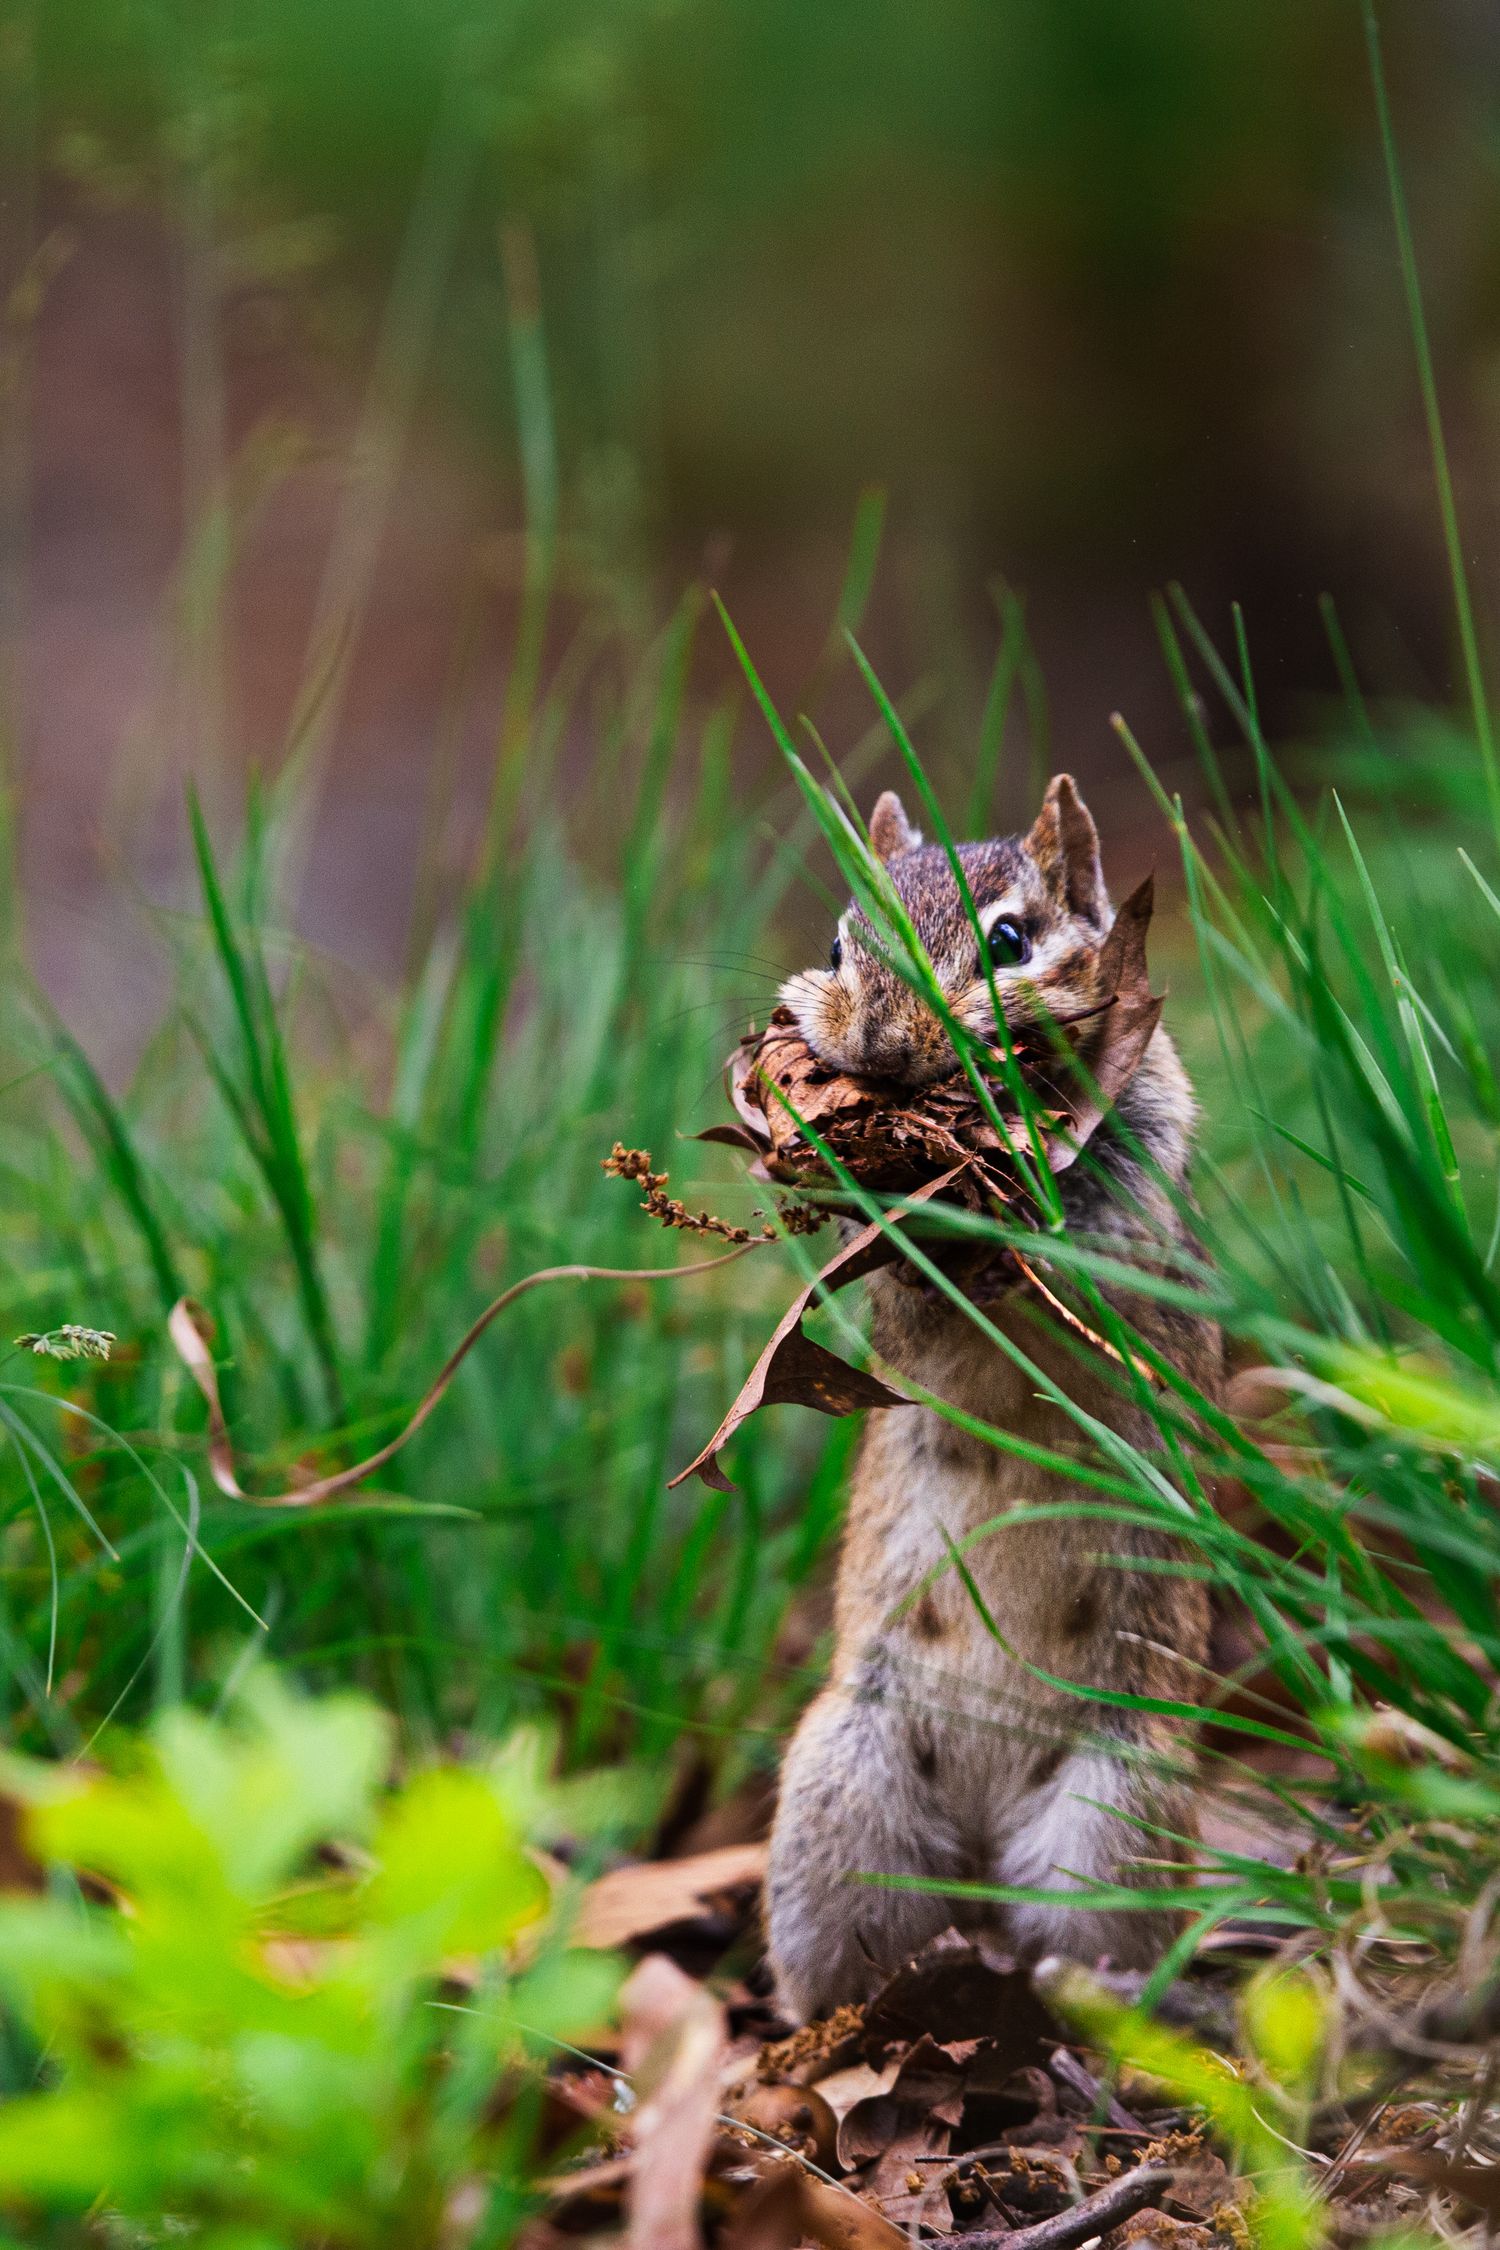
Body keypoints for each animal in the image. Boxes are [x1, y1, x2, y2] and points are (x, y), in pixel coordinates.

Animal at [764, 776, 1221, 2022]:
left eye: (1010, 941)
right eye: (839, 942)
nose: (877, 1042)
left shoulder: (1136, 1191)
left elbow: (1086, 1265)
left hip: (1114, 1815)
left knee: (1090, 1940)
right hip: (836, 1795)